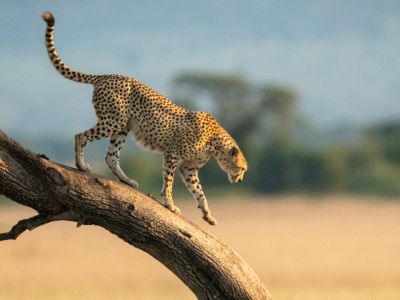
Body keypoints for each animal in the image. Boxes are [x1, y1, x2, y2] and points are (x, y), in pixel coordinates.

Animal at [41, 11, 247, 225]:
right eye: (241, 168)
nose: (239, 179)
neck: (215, 142)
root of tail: (106, 76)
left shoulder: (189, 167)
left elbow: (198, 191)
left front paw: (207, 214)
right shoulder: (172, 153)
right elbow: (169, 182)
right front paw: (170, 205)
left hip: (122, 126)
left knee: (111, 156)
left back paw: (126, 180)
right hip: (112, 121)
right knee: (80, 136)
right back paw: (81, 165)